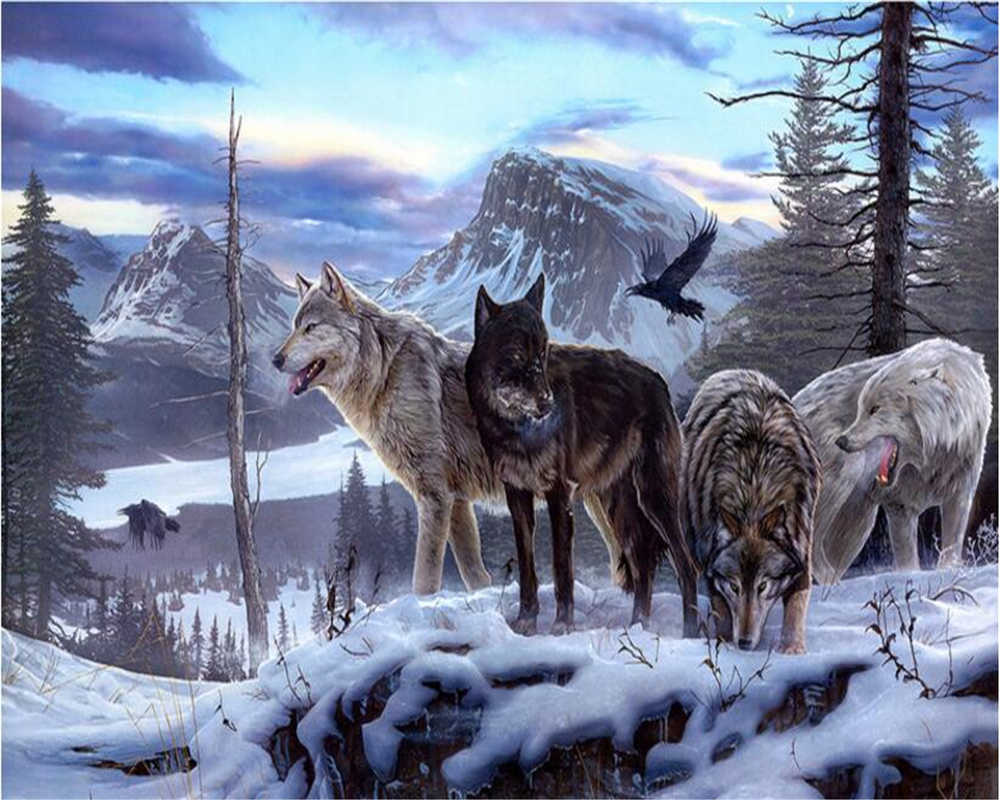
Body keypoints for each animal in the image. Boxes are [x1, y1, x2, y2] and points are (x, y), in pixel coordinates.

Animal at [465, 274, 700, 636]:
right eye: (517, 356)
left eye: (543, 352)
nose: (547, 403)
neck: (517, 430)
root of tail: (659, 381)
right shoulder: (517, 495)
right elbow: (528, 568)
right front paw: (526, 622)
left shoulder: (559, 494)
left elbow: (562, 568)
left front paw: (562, 624)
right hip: (618, 508)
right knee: (642, 565)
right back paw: (637, 627)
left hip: (653, 498)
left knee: (686, 565)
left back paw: (689, 634)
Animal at [682, 369, 820, 653]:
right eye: (735, 587)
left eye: (763, 586)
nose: (745, 643)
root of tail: (732, 371)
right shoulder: (712, 563)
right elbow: (722, 610)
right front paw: (724, 644)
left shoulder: (802, 547)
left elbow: (796, 604)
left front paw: (792, 650)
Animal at [793, 338, 992, 584]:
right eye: (860, 409)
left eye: (875, 409)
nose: (842, 440)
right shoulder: (901, 505)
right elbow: (907, 558)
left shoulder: (960, 491)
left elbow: (952, 544)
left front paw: (949, 571)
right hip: (843, 479)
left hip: (858, 520)